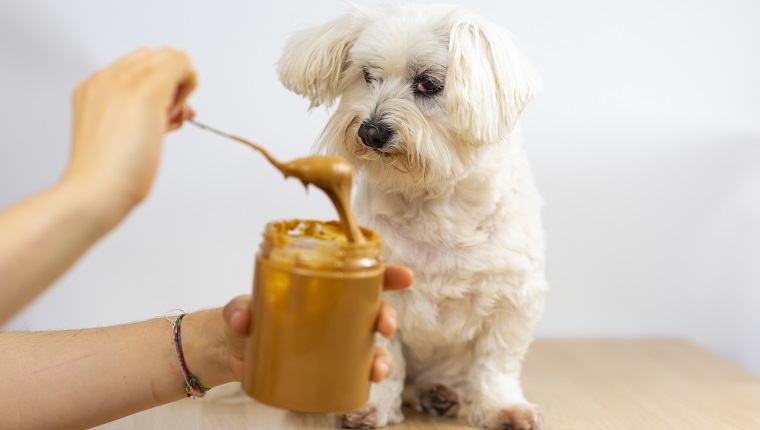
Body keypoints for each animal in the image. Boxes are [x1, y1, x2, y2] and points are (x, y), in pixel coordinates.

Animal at [280, 4, 548, 430]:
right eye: (367, 75)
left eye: (427, 84)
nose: (371, 132)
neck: (433, 199)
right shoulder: (378, 294)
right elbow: (385, 362)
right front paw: (373, 407)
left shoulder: (513, 298)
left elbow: (497, 363)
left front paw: (502, 407)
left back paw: (441, 394)